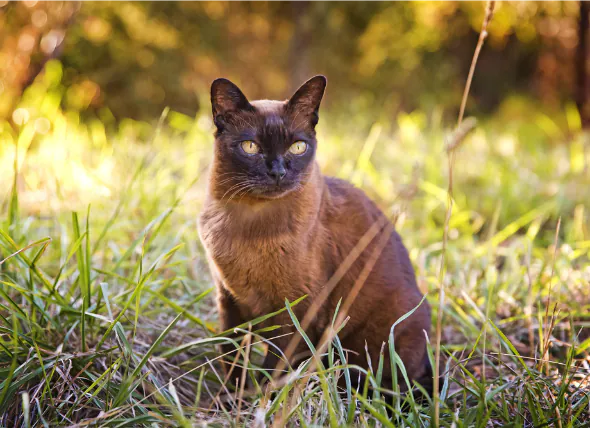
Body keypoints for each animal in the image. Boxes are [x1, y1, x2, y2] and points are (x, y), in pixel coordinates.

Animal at [199, 75, 434, 392]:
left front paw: (256, 399)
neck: (248, 224)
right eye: (250, 147)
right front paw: (231, 396)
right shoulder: (228, 300)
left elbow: (272, 372)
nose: (278, 172)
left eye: (298, 147)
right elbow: (231, 357)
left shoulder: (297, 314)